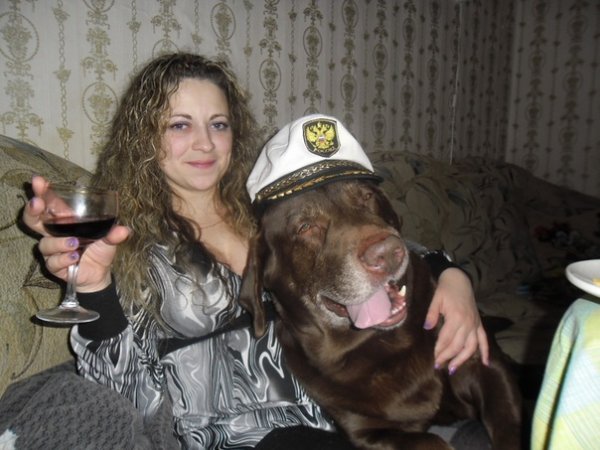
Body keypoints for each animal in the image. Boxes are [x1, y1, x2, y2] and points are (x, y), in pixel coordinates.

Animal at [239, 178, 522, 450]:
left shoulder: (484, 365)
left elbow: (509, 427)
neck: (383, 343)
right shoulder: (368, 433)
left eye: (367, 196)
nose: (387, 253)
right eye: (305, 227)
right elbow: (432, 441)